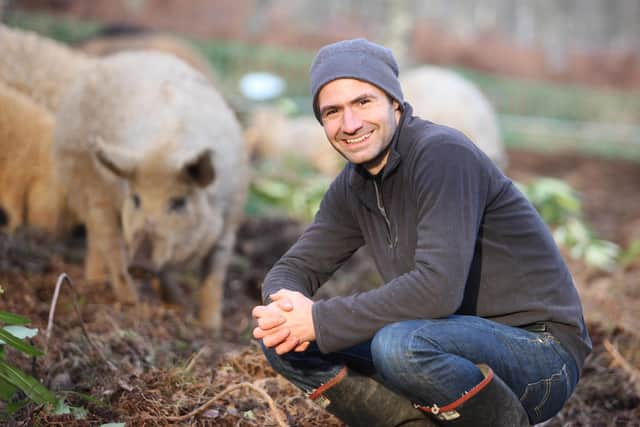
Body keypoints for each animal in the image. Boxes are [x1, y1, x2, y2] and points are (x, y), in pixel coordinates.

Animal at [53, 51, 249, 332]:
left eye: (178, 202)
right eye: (136, 198)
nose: (140, 264)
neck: (164, 151)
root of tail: (116, 58)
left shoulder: (231, 219)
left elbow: (214, 276)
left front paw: (210, 326)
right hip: (86, 186)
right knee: (107, 242)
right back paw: (128, 301)